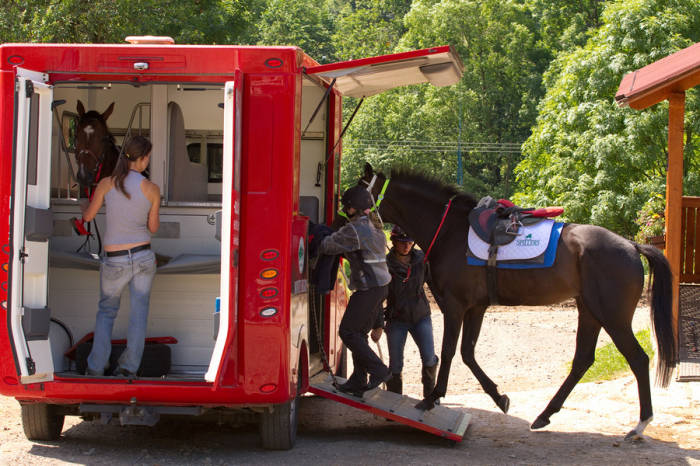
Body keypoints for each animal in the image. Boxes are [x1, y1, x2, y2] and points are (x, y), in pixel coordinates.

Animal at [358, 164, 676, 440]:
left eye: (357, 190)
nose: (346, 215)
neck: (451, 231)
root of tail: (632, 245)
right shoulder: (477, 307)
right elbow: (467, 353)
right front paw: (499, 397)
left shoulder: (455, 306)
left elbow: (448, 352)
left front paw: (432, 397)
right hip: (589, 312)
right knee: (582, 360)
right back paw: (545, 414)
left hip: (613, 317)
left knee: (637, 359)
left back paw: (641, 423)